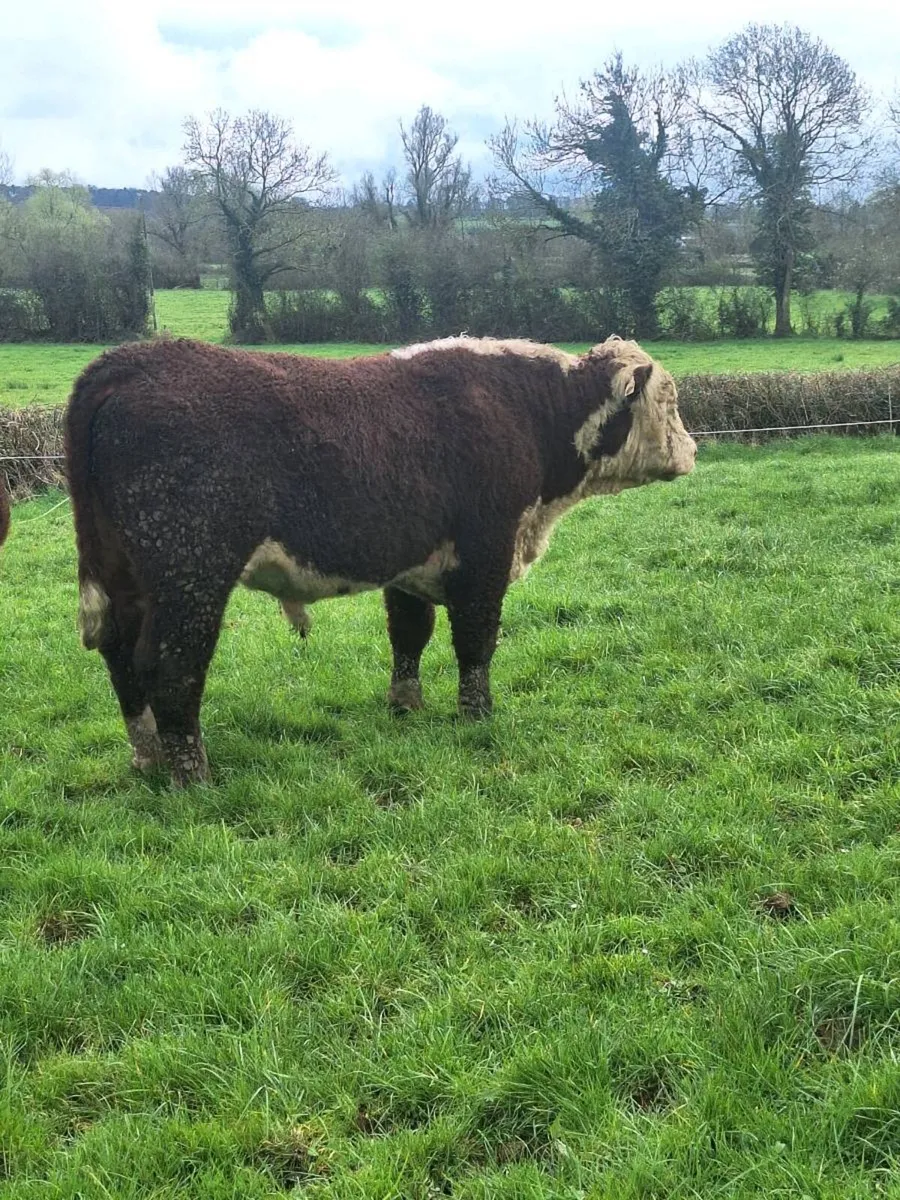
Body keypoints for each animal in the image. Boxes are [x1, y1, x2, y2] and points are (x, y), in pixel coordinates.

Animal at [64, 334, 696, 786]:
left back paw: (147, 756)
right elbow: (476, 641)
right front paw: (478, 716)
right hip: (191, 574)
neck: (529, 410)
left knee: (120, 656)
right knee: (169, 665)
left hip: (125, 577)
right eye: (670, 400)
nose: (692, 450)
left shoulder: (411, 564)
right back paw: (192, 775)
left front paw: (406, 707)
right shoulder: (485, 553)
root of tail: (130, 360)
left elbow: (409, 635)